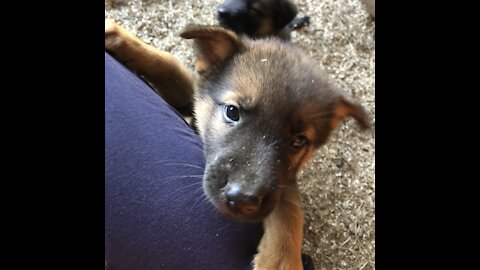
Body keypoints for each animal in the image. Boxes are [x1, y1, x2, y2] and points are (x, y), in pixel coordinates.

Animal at [106, 19, 372, 270]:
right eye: (232, 111)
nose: (243, 201)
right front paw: (119, 36)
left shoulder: (284, 180)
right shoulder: (194, 98)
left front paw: (281, 258)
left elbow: (289, 203)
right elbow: (170, 65)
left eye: (298, 141)